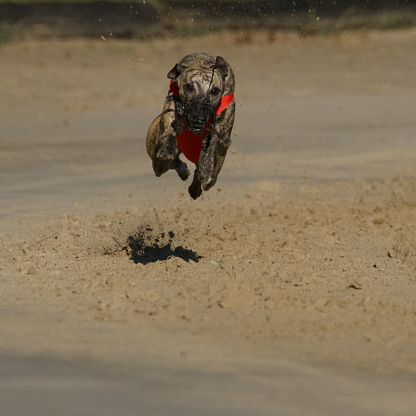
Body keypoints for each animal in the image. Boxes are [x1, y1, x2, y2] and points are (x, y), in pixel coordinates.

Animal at [146, 52, 236, 200]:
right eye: (188, 87)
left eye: (214, 90)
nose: (199, 117)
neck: (202, 64)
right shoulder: (172, 102)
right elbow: (169, 129)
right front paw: (167, 149)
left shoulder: (222, 128)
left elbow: (214, 140)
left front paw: (205, 167)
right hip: (157, 162)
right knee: (167, 163)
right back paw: (182, 169)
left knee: (206, 177)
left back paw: (196, 185)